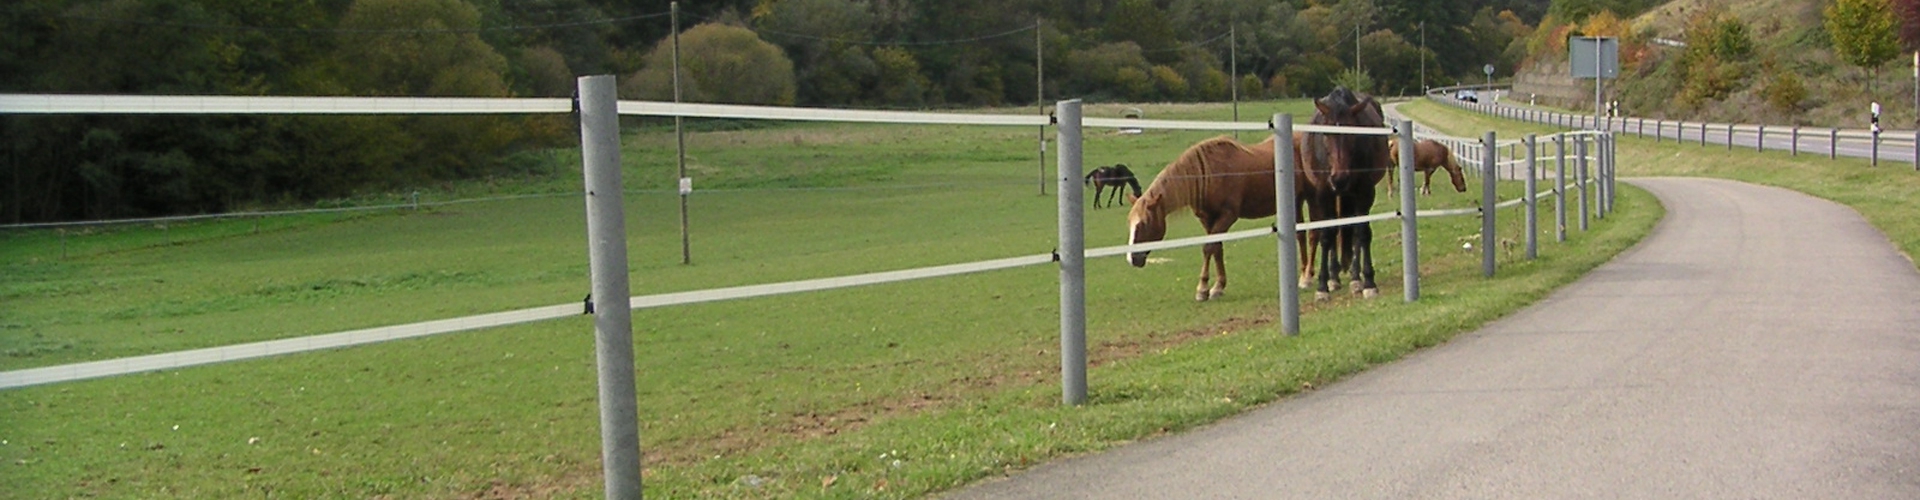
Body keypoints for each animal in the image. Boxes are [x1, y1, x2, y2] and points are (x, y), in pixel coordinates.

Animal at [1297, 86, 1390, 300]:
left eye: (1353, 133)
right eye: (1326, 134)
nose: (1339, 178)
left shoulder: (1365, 191)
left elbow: (1361, 232)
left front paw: (1369, 282)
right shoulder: (1323, 194)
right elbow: (1327, 236)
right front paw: (1322, 286)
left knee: (1353, 231)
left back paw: (1355, 278)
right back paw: (1334, 278)